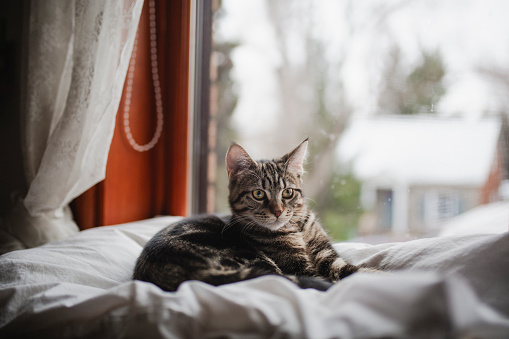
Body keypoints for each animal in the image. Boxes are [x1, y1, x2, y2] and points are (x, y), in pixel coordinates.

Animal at [134, 139, 366, 290]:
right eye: (258, 194)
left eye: (287, 192)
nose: (278, 211)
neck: (297, 228)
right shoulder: (299, 267)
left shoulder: (327, 255)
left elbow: (354, 270)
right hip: (253, 260)